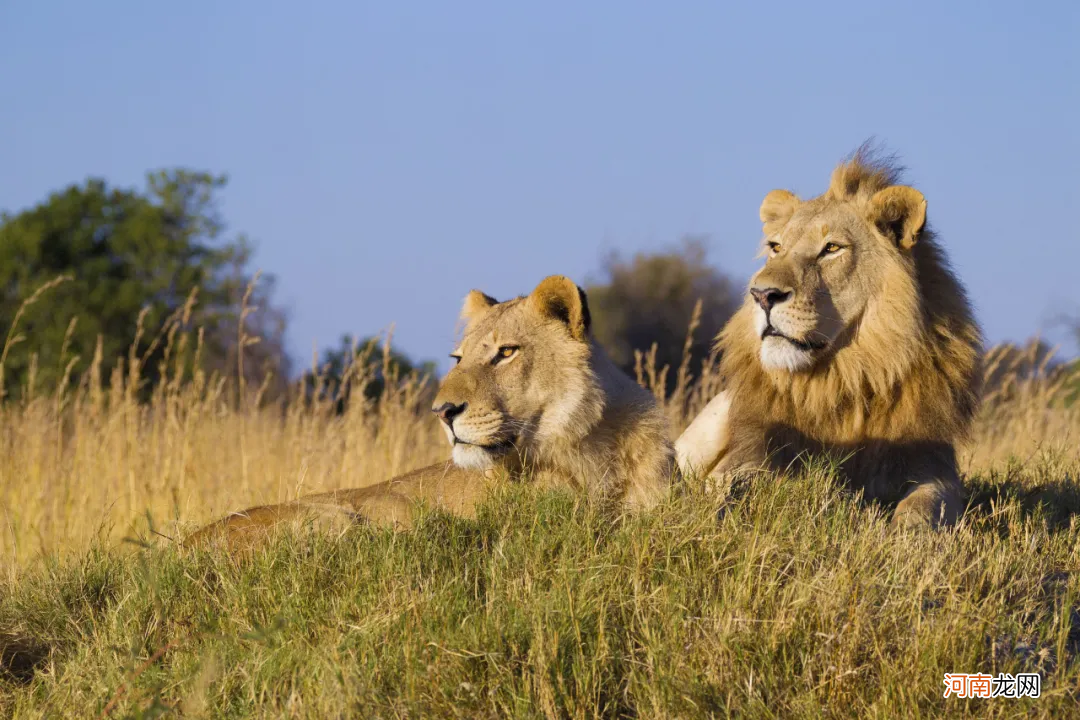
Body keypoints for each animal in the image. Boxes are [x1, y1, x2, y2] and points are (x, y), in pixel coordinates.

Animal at [678, 146, 984, 528]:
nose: (762, 295)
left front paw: (907, 532)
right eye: (776, 247)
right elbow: (737, 483)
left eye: (832, 248)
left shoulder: (933, 464)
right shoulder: (751, 453)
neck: (845, 376)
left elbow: (928, 503)